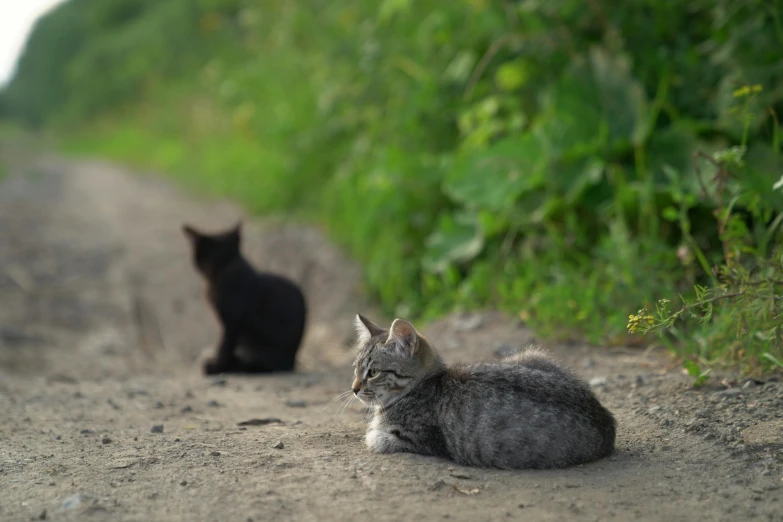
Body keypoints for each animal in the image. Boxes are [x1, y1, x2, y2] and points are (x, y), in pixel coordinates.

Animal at [183, 219, 306, 374]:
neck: (226, 266)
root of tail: (291, 363)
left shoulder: (232, 321)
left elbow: (224, 345)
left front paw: (216, 368)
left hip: (252, 345)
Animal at [352, 312, 616, 468]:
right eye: (355, 368)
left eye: (373, 372)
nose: (354, 389)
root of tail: (606, 420)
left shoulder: (416, 439)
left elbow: (373, 437)